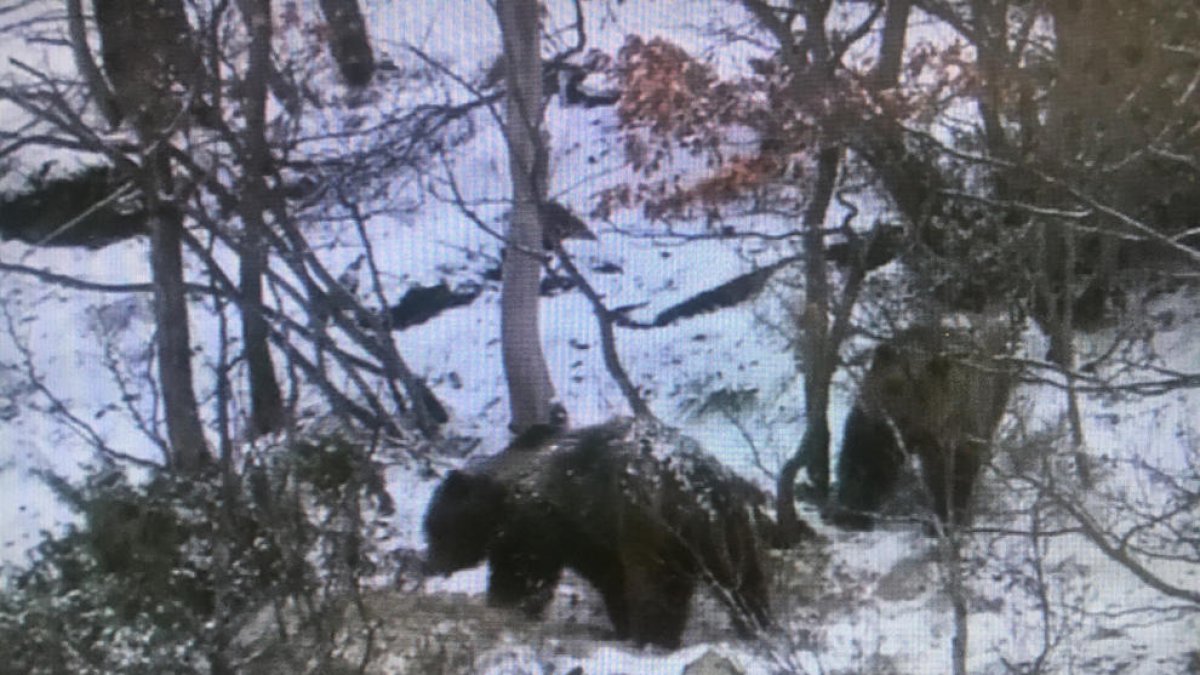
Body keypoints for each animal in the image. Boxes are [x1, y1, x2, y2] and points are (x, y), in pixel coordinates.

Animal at [427, 415, 772, 648]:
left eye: (435, 529)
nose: (430, 564)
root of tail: (703, 482)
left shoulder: (544, 524)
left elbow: (522, 572)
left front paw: (506, 606)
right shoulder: (589, 537)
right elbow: (610, 578)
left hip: (649, 522)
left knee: (658, 584)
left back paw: (654, 638)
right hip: (735, 530)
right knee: (747, 583)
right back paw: (758, 626)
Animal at [835, 324, 1012, 528]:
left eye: (923, 396)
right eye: (893, 388)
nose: (900, 426)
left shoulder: (955, 425)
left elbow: (953, 472)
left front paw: (948, 518)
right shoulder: (874, 421)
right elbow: (865, 460)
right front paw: (852, 512)